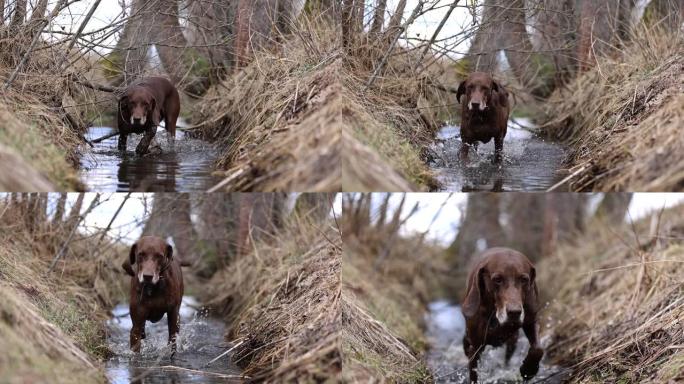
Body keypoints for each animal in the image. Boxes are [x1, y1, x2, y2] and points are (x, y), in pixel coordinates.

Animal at [462, 248, 544, 382]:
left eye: (524, 279)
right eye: (497, 279)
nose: (514, 312)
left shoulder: (531, 321)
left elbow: (538, 349)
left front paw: (528, 370)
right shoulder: (475, 347)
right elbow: (474, 374)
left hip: (513, 341)